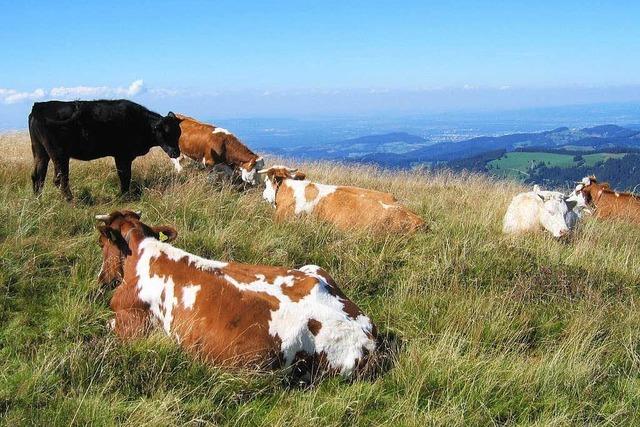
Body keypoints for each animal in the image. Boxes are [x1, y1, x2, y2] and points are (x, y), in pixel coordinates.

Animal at [28, 100, 181, 201]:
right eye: (166, 133)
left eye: (178, 133)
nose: (176, 153)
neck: (142, 123)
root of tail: (39, 106)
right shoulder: (122, 156)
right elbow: (125, 176)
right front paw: (125, 196)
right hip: (59, 155)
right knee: (59, 179)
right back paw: (71, 200)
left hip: (40, 152)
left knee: (38, 175)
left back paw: (38, 200)